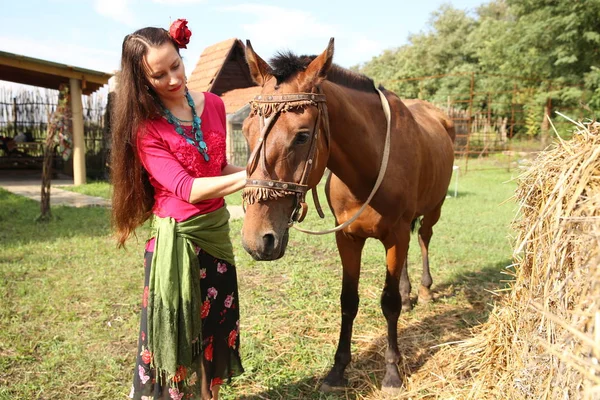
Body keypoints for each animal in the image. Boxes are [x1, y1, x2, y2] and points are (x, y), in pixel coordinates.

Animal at [239, 39, 454, 392]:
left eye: (302, 135)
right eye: (245, 131)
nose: (258, 240)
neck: (370, 166)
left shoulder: (394, 236)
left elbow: (388, 303)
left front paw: (392, 372)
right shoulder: (347, 237)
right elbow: (348, 301)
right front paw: (337, 371)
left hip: (433, 210)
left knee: (423, 240)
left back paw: (423, 291)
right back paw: (410, 294)